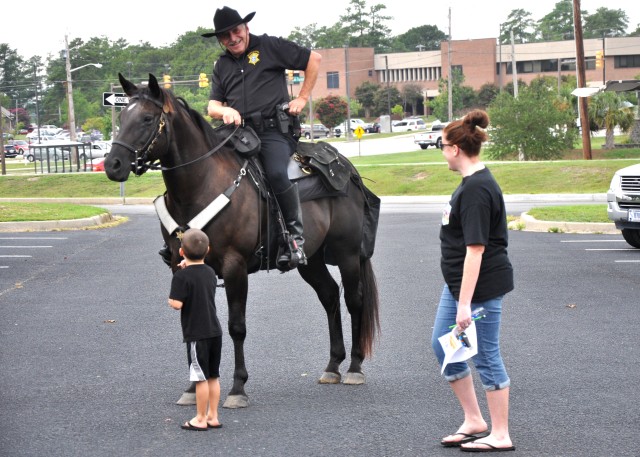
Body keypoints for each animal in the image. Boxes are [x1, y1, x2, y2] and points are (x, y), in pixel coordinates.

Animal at [102, 73, 378, 408]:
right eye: (121, 119)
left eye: (146, 118)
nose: (113, 164)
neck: (201, 185)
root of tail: (346, 168)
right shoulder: (183, 267)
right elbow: (193, 326)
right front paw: (194, 387)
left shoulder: (234, 267)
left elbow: (236, 327)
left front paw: (237, 387)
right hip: (310, 261)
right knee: (329, 296)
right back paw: (333, 365)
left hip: (347, 253)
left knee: (353, 300)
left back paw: (354, 367)